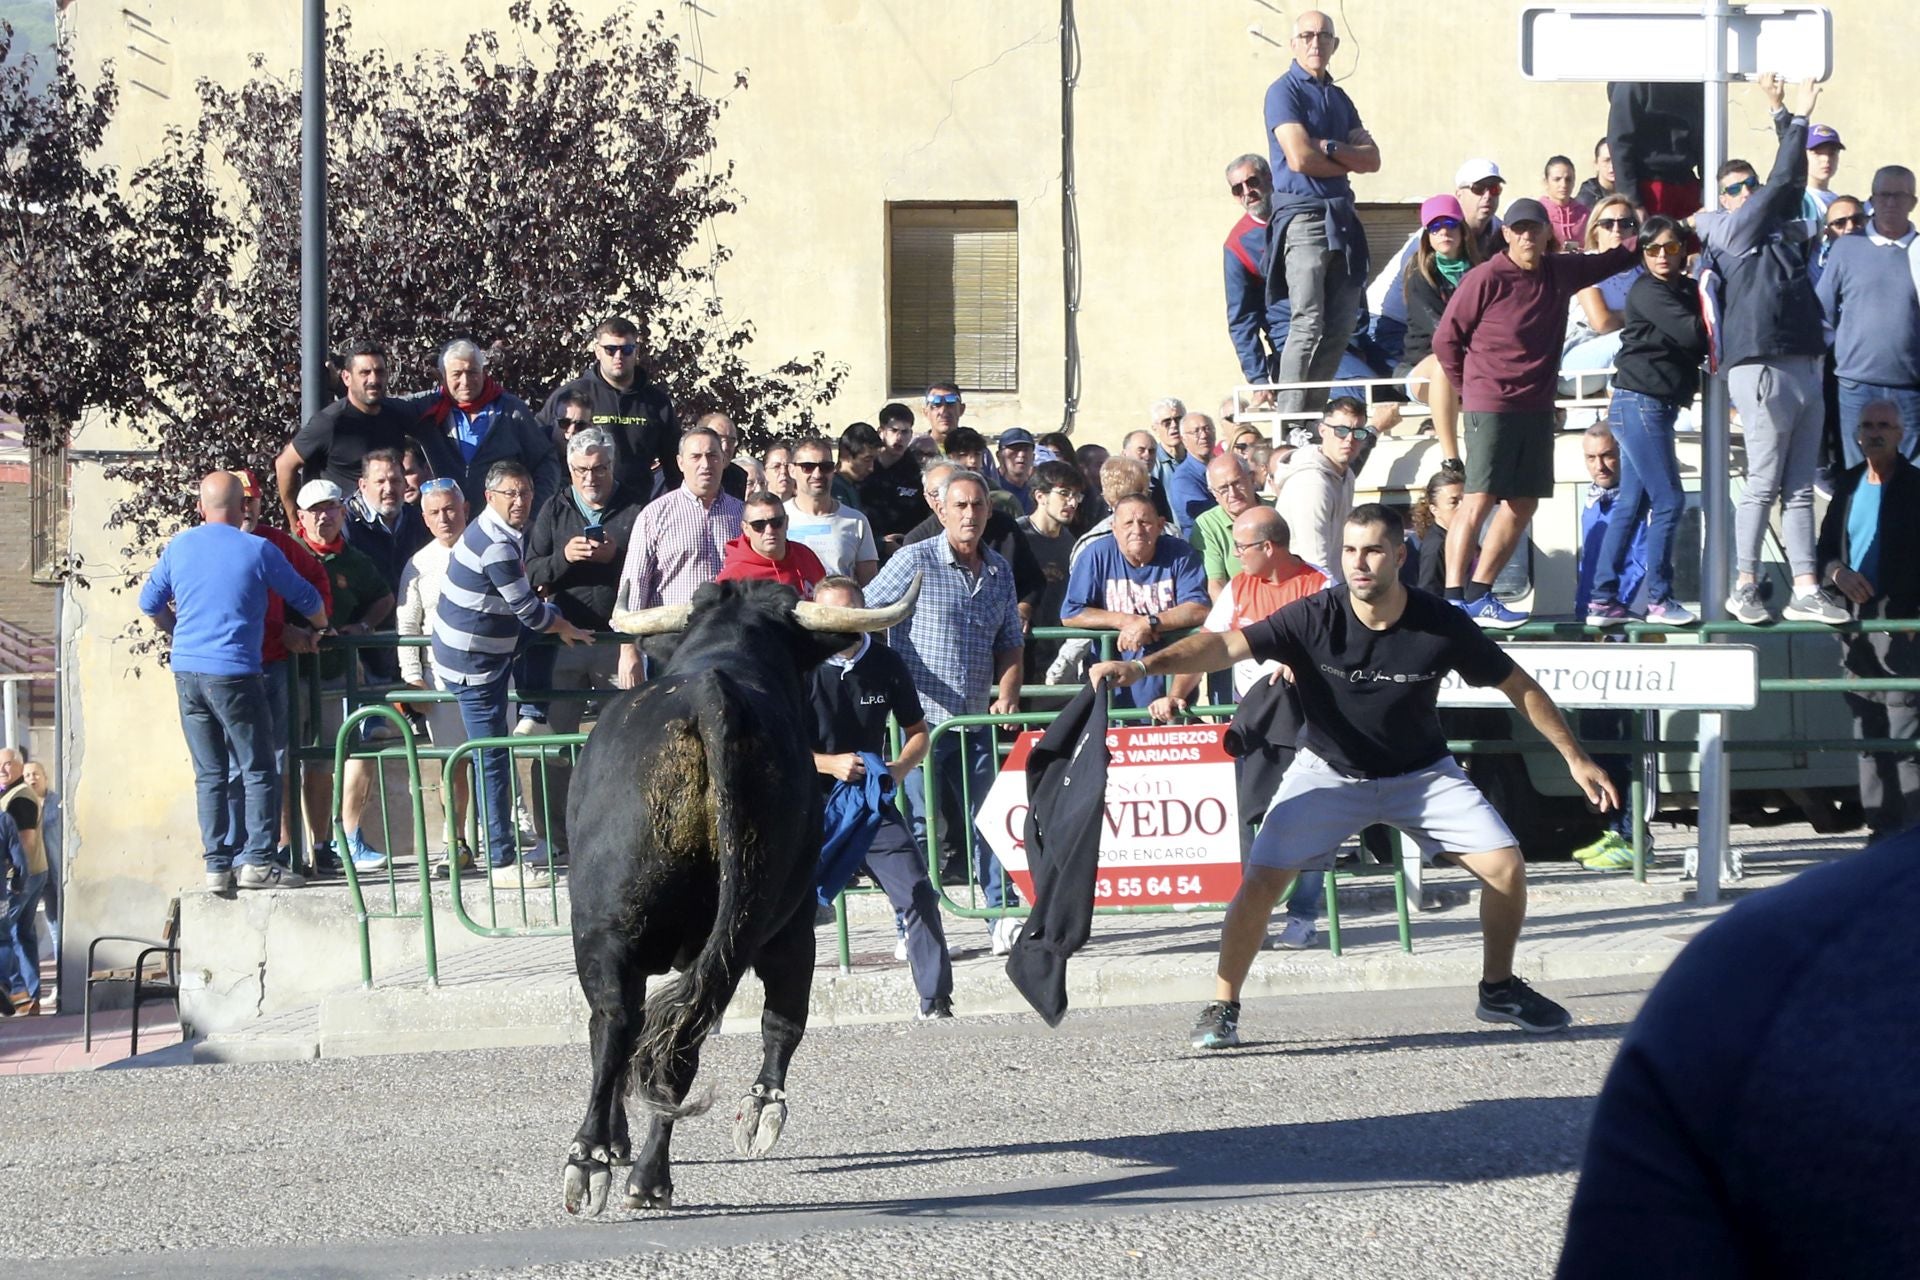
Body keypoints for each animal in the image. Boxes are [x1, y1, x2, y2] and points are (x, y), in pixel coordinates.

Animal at [560, 575, 917, 1220]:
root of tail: (711, 697)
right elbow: (778, 1020)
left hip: (611, 930)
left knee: (620, 1026)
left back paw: (602, 1161)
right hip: (760, 923)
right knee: (692, 1034)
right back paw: (670, 1160)